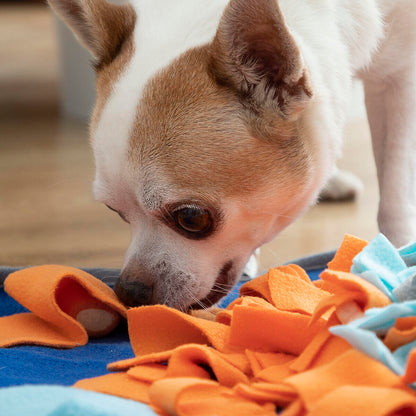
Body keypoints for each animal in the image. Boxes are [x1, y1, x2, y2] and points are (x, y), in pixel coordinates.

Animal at [47, 0, 414, 312]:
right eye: (117, 212)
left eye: (192, 218)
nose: (129, 291)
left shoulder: (400, 77)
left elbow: (395, 194)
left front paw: (397, 263)